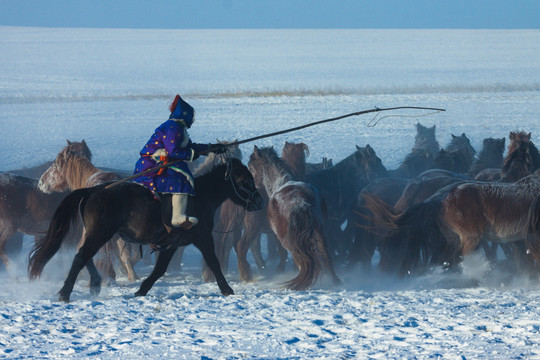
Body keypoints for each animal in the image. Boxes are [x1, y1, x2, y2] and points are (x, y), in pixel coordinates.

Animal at [28, 159, 264, 302]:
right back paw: (65, 293)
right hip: (100, 234)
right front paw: (227, 289)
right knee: (80, 256)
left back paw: (94, 284)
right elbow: (214, 262)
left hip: (97, 234)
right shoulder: (202, 237)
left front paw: (141, 290)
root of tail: (92, 191)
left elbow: (160, 269)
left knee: (84, 255)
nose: (259, 202)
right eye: (244, 179)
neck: (200, 198)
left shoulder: (172, 244)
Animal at [243, 146, 340, 290]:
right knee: (325, 256)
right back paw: (335, 281)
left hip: (290, 241)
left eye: (250, 165)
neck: (280, 182)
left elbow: (283, 254)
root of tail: (301, 204)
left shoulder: (277, 236)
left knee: (301, 260)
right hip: (319, 234)